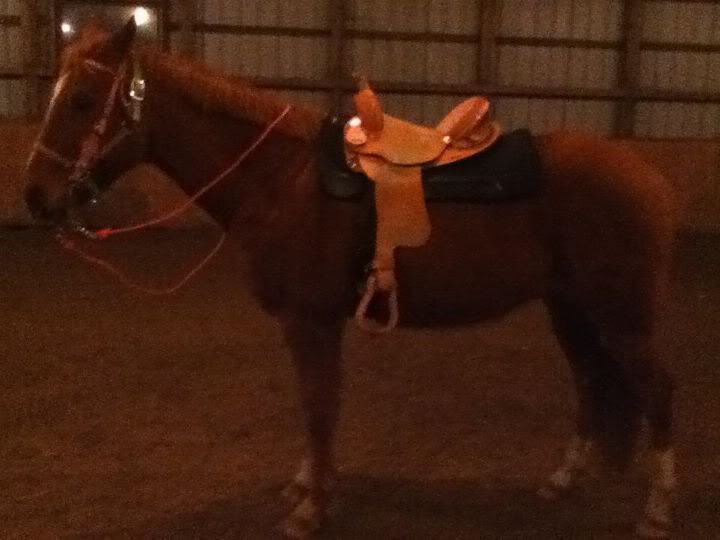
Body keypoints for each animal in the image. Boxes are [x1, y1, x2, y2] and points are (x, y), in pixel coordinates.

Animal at [23, 18, 679, 539]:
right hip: (569, 308)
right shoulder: (312, 323)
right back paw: (564, 479)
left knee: (657, 391)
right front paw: (310, 486)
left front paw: (311, 509)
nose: (35, 196)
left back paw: (657, 509)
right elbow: (315, 404)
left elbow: (319, 406)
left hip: (622, 316)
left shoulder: (309, 320)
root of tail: (645, 176)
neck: (279, 180)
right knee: (590, 380)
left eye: (82, 100)